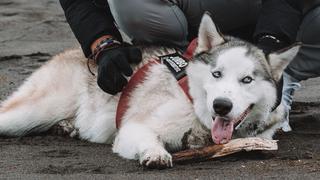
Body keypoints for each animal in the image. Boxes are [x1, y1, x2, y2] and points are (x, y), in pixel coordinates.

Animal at [0, 14, 298, 169]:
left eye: (247, 80)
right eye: (217, 74)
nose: (221, 105)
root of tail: (75, 53)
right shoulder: (133, 127)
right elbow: (148, 138)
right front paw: (155, 152)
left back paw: (68, 127)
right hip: (34, 110)